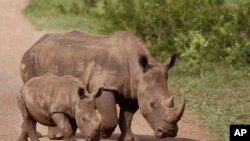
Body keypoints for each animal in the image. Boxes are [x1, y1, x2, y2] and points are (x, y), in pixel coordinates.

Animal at [20, 30, 185, 140]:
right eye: (152, 104)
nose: (170, 133)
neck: (138, 72)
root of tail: (34, 44)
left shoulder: (134, 92)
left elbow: (127, 117)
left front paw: (129, 138)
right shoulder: (104, 86)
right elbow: (111, 116)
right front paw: (103, 134)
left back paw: (55, 135)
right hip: (30, 61)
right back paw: (55, 135)